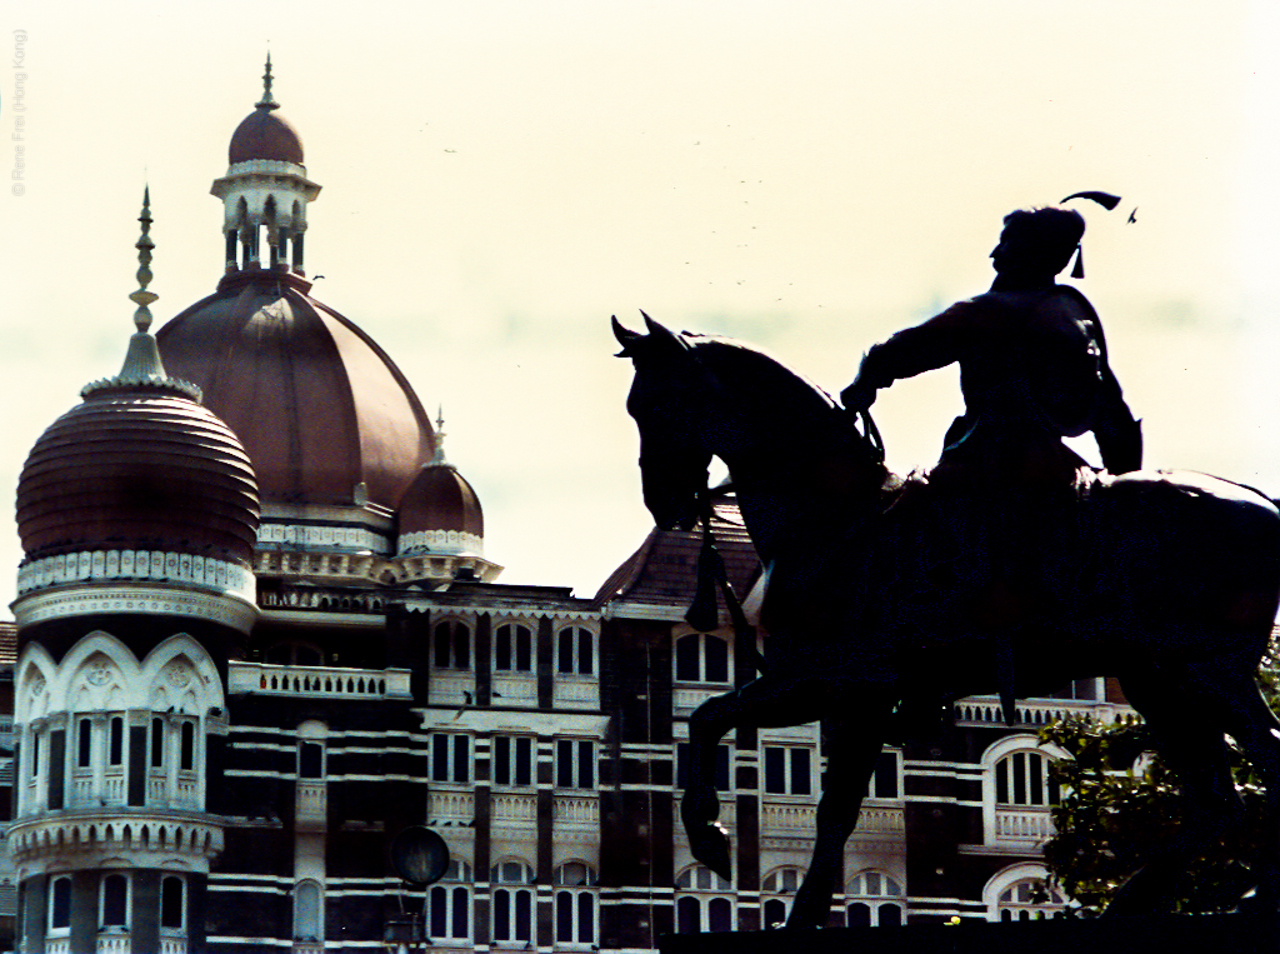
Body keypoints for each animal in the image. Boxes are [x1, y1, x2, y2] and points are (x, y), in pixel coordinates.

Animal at [614, 315, 1280, 932]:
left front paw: (739, 861)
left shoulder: (846, 685)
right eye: (632, 407)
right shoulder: (826, 686)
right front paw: (724, 844)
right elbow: (713, 721)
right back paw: (1141, 902)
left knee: (1260, 766)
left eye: (659, 402)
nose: (663, 503)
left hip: (1206, 673)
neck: (835, 516)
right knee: (1219, 799)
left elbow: (822, 797)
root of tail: (1263, 500)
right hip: (1161, 680)